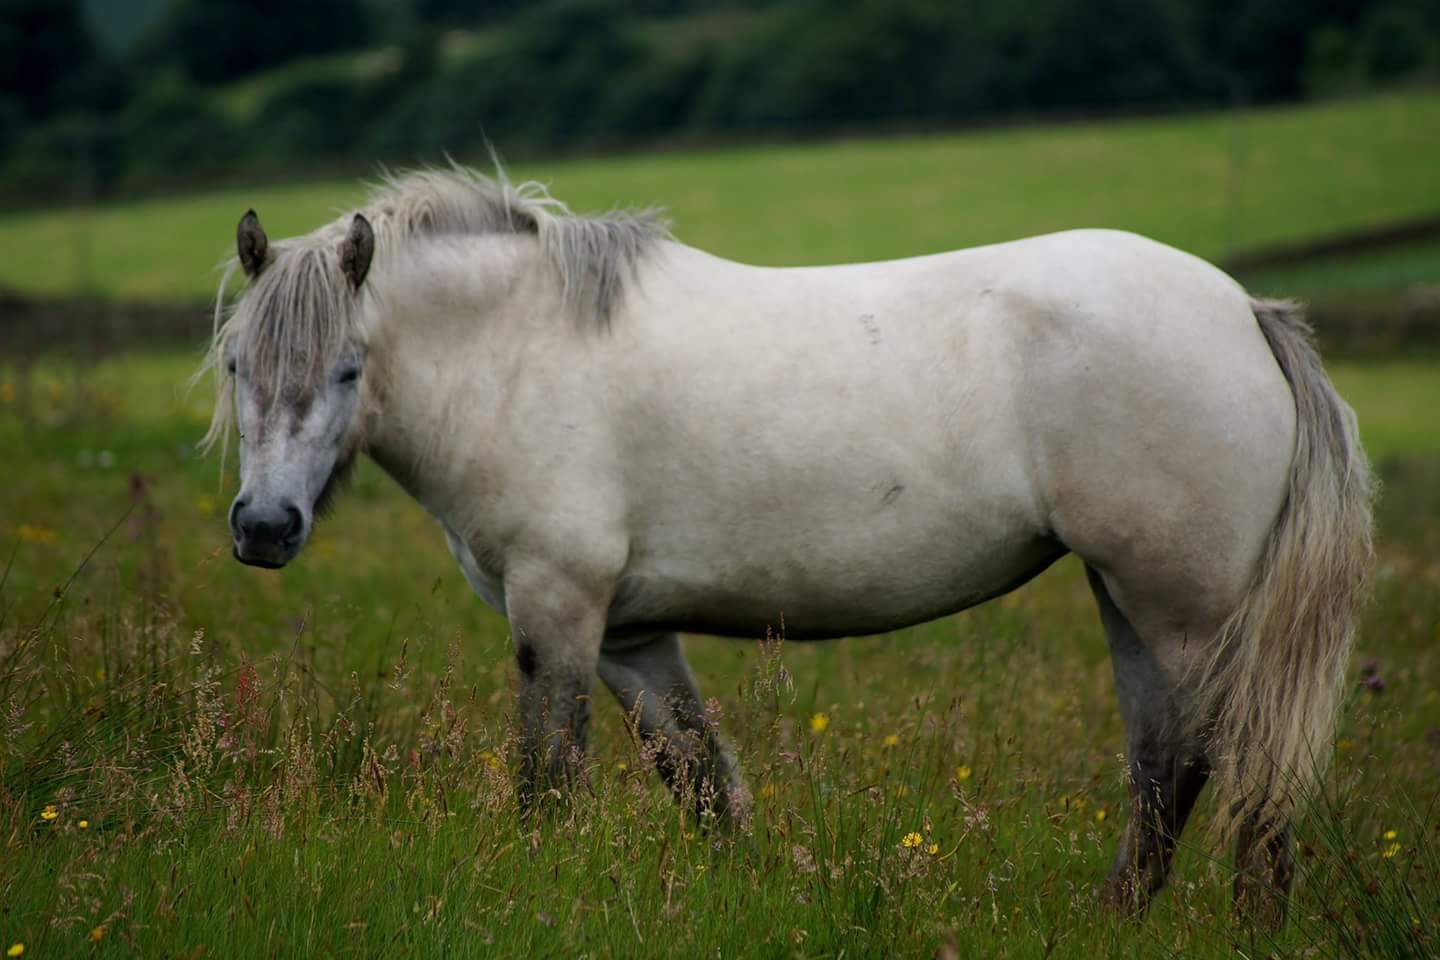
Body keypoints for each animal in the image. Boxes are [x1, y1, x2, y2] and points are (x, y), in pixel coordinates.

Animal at [202, 165, 1372, 921]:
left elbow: (549, 780)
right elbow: (700, 783)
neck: (522, 351)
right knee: (1166, 766)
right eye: (235, 364)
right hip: (1127, 600)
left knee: (1228, 764)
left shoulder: (558, 610)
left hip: (1185, 610)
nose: (263, 528)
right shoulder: (630, 637)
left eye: (348, 366)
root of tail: (1243, 309)